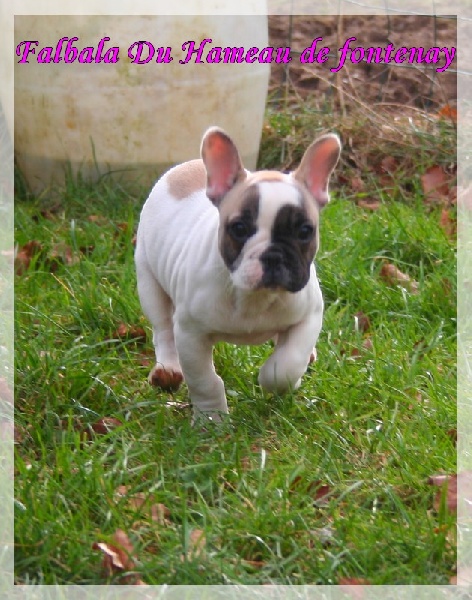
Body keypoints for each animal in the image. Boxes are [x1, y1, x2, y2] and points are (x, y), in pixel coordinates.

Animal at [135, 125, 342, 422]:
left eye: (305, 231)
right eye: (240, 229)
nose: (273, 255)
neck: (254, 297)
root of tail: (185, 167)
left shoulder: (310, 315)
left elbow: (287, 363)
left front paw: (277, 380)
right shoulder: (190, 334)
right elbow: (205, 380)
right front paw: (211, 420)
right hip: (149, 281)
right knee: (162, 327)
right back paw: (168, 370)